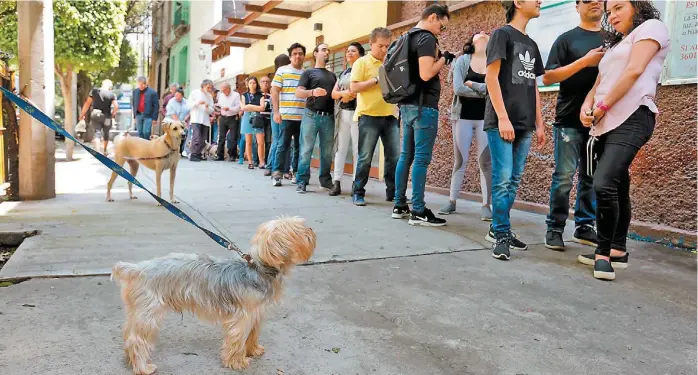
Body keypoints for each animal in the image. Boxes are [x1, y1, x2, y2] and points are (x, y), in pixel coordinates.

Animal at [111, 216, 316, 374]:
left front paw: (253, 350)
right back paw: (142, 367)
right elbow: (238, 339)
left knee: (128, 333)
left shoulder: (256, 314)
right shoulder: (243, 317)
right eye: (298, 231)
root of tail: (137, 269)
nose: (311, 229)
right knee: (137, 340)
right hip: (149, 314)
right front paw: (237, 362)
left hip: (137, 311)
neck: (259, 268)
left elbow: (252, 335)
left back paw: (130, 359)